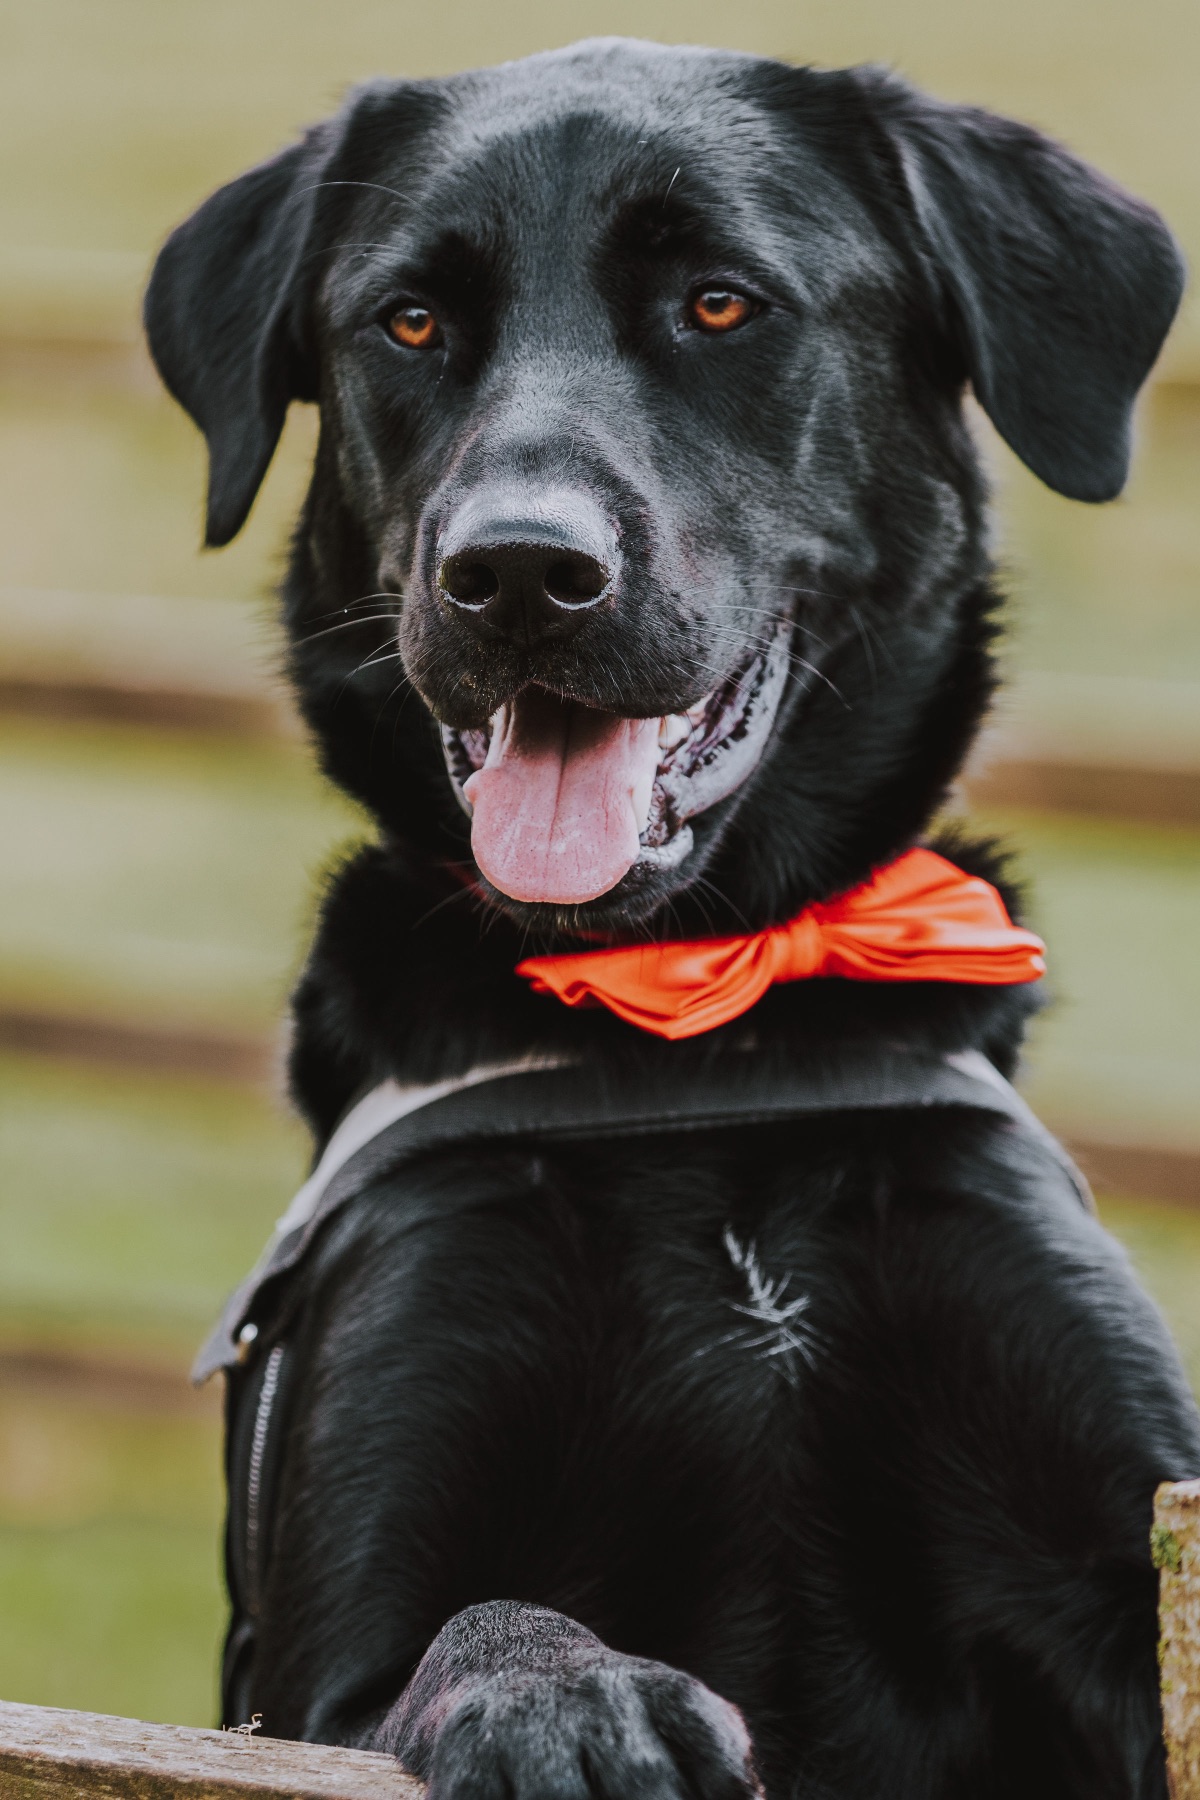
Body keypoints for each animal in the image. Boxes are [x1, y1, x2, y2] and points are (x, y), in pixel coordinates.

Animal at [146, 39, 1200, 1798]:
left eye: (718, 303)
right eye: (408, 323)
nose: (515, 572)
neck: (705, 1014)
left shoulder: (1133, 1574)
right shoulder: (304, 1678)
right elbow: (465, 1622)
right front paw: (571, 1695)